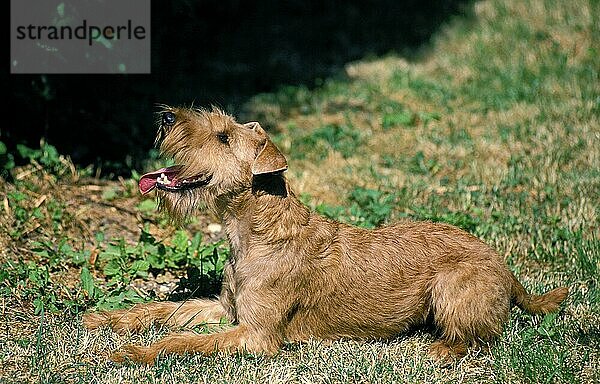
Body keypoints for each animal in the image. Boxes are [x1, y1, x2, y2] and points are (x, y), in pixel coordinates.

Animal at [82, 107, 568, 364]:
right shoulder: (225, 308)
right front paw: (103, 320)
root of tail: (507, 270)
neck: (258, 231)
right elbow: (165, 310)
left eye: (222, 137)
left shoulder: (256, 335)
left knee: (480, 337)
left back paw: (437, 350)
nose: (164, 115)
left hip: (451, 289)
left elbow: (183, 341)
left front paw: (130, 354)